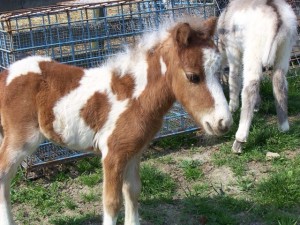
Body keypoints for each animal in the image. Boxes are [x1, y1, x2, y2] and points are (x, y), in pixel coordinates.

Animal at [0, 16, 232, 224]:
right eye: (193, 76)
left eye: (220, 70)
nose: (223, 123)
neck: (135, 97)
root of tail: (6, 74)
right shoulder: (112, 154)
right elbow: (112, 202)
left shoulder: (134, 151)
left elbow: (133, 191)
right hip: (21, 139)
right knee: (3, 176)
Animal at [217, 0, 296, 153]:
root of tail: (277, 17)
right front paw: (257, 107)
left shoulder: (233, 52)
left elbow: (234, 78)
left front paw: (232, 108)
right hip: (284, 51)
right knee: (279, 83)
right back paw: (283, 127)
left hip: (254, 51)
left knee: (250, 86)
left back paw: (239, 141)